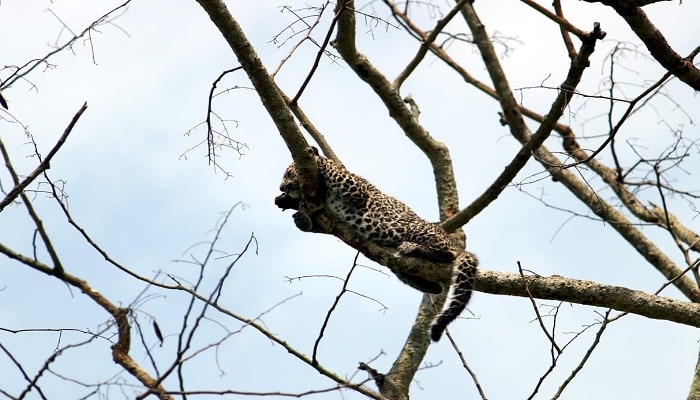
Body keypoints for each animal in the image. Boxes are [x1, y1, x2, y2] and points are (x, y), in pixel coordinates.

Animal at [276, 150, 478, 340]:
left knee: (449, 253)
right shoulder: (326, 218)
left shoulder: (356, 189)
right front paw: (300, 218)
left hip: (410, 228)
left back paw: (411, 246)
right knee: (433, 285)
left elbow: (334, 172)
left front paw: (317, 159)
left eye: (289, 173)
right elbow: (317, 225)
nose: (281, 187)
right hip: (401, 268)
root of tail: (456, 243)